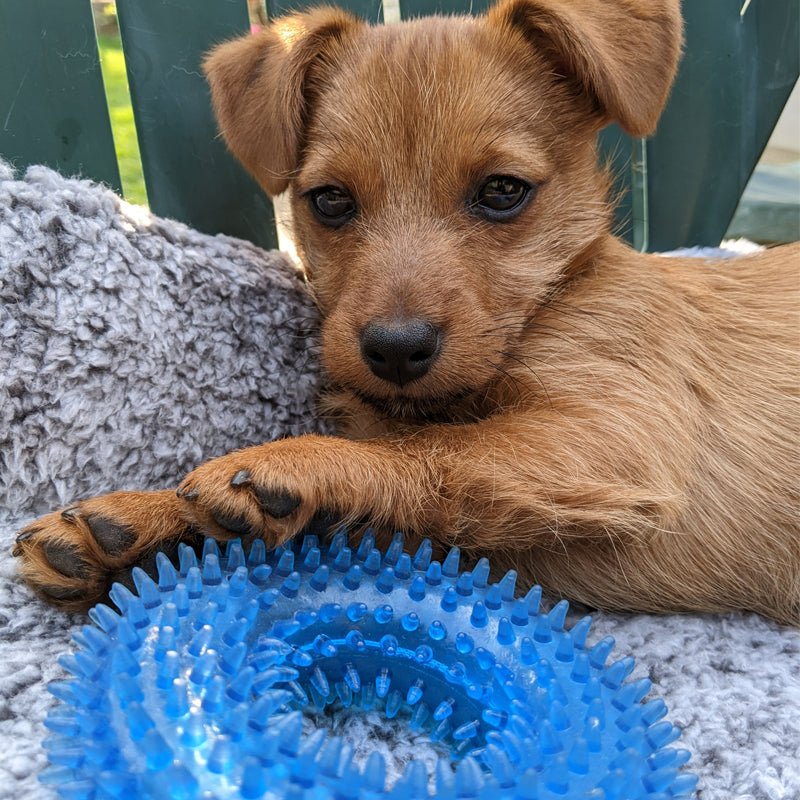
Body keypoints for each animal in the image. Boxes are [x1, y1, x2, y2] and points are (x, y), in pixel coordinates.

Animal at [14, 0, 800, 624]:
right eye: (330, 200)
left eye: (504, 191)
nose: (395, 348)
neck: (558, 293)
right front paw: (148, 526)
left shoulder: (615, 432)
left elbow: (431, 451)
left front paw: (288, 462)